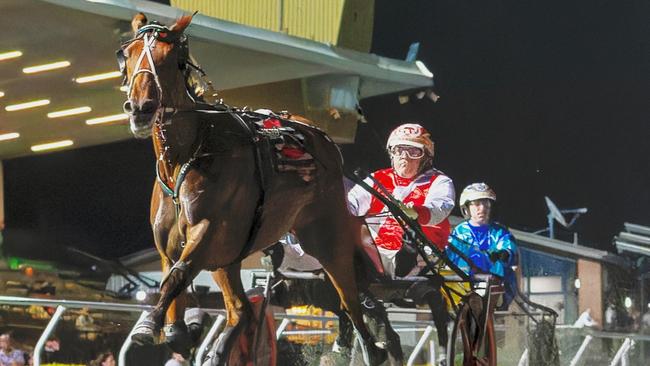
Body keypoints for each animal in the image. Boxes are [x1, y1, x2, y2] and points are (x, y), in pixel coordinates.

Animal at [116, 12, 388, 364]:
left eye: (173, 60)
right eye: (128, 54)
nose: (142, 108)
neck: (187, 156)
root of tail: (322, 138)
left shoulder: (209, 230)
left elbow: (178, 275)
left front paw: (152, 326)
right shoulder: (170, 246)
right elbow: (172, 291)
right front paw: (173, 329)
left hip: (324, 232)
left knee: (350, 298)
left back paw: (371, 348)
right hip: (230, 257)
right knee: (241, 310)